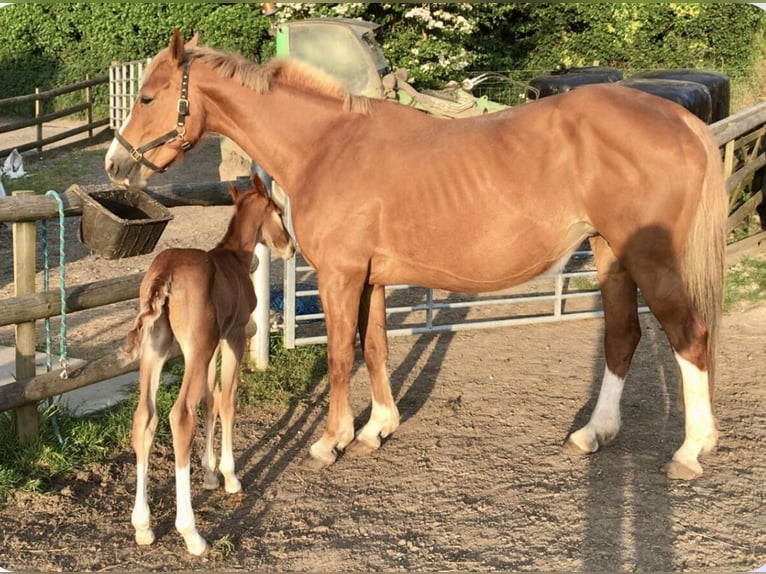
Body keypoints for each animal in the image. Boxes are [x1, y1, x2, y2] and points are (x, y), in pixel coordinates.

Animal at [121, 174, 296, 552]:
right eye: (278, 212)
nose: (290, 247)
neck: (235, 257)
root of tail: (166, 272)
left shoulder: (213, 344)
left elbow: (209, 400)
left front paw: (210, 473)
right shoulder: (234, 336)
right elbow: (227, 399)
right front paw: (229, 476)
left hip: (157, 351)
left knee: (145, 416)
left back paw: (143, 526)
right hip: (196, 349)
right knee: (179, 415)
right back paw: (192, 533)